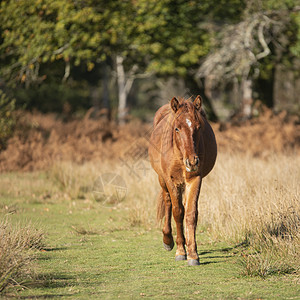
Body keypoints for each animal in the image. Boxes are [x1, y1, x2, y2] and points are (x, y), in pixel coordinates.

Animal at [149, 95, 217, 264]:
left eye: (198, 127)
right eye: (177, 128)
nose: (192, 161)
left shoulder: (195, 180)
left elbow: (191, 213)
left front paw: (192, 253)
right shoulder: (171, 181)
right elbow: (178, 212)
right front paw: (180, 250)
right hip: (162, 180)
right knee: (168, 202)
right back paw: (168, 240)